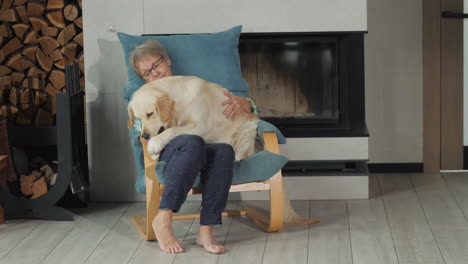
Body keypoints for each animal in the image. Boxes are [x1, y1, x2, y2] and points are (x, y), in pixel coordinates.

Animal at [128, 75, 260, 161]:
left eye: (150, 114)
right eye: (138, 119)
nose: (144, 136)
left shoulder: (201, 126)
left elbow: (172, 130)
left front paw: (155, 143)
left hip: (246, 132)